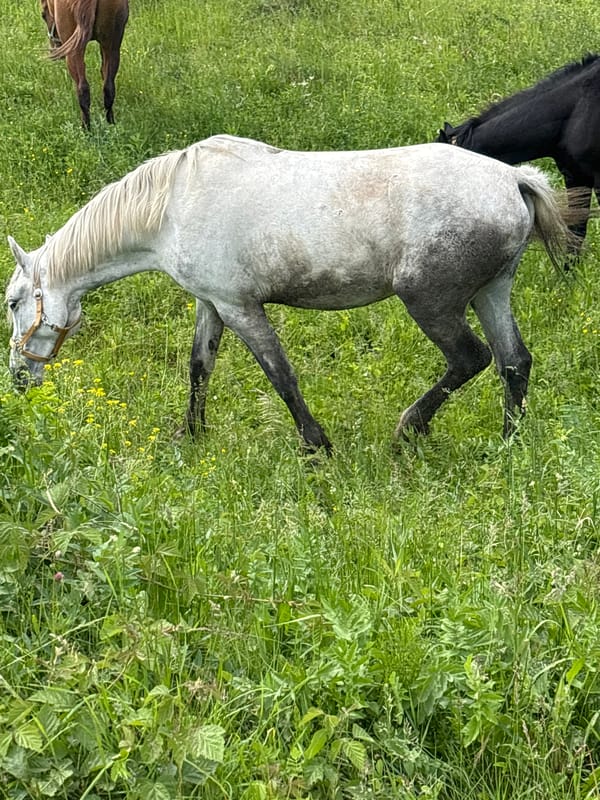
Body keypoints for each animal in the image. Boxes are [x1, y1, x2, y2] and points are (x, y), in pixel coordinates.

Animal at [6, 135, 574, 452]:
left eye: (12, 302)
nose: (17, 379)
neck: (172, 203)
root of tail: (513, 179)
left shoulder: (240, 307)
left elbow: (281, 376)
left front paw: (317, 446)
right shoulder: (211, 303)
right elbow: (198, 367)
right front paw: (191, 435)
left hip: (429, 301)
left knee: (470, 359)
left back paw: (409, 428)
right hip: (491, 293)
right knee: (514, 361)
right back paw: (507, 443)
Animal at [40, 0, 129, 129]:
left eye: (43, 15)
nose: (54, 47)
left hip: (74, 53)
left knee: (83, 89)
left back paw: (85, 128)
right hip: (112, 48)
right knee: (109, 88)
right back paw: (110, 124)